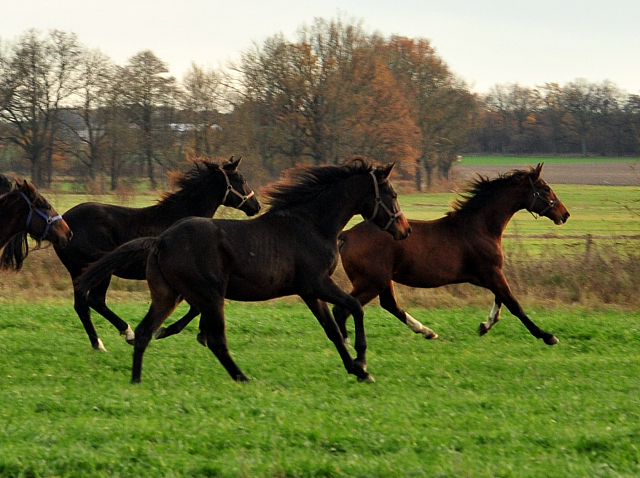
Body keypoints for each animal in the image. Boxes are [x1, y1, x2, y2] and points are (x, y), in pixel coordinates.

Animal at [50, 157, 260, 352]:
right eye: (242, 179)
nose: (255, 206)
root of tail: (64, 223)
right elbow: (196, 307)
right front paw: (169, 331)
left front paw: (201, 334)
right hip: (99, 269)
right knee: (95, 300)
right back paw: (125, 334)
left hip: (78, 270)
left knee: (82, 304)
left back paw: (98, 343)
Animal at [75, 161, 412, 384]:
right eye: (393, 194)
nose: (405, 230)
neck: (311, 225)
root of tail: (161, 240)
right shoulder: (317, 284)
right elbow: (355, 307)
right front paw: (363, 363)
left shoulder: (309, 291)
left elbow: (332, 330)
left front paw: (356, 369)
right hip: (210, 295)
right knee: (216, 340)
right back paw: (241, 377)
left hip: (168, 295)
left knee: (145, 330)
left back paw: (136, 379)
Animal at [336, 162, 568, 356]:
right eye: (545, 188)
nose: (564, 215)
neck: (479, 227)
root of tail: (346, 235)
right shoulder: (491, 273)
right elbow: (514, 304)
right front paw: (548, 336)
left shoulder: (489, 276)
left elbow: (500, 302)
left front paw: (484, 326)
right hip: (371, 282)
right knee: (345, 308)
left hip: (382, 281)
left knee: (389, 305)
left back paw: (427, 331)